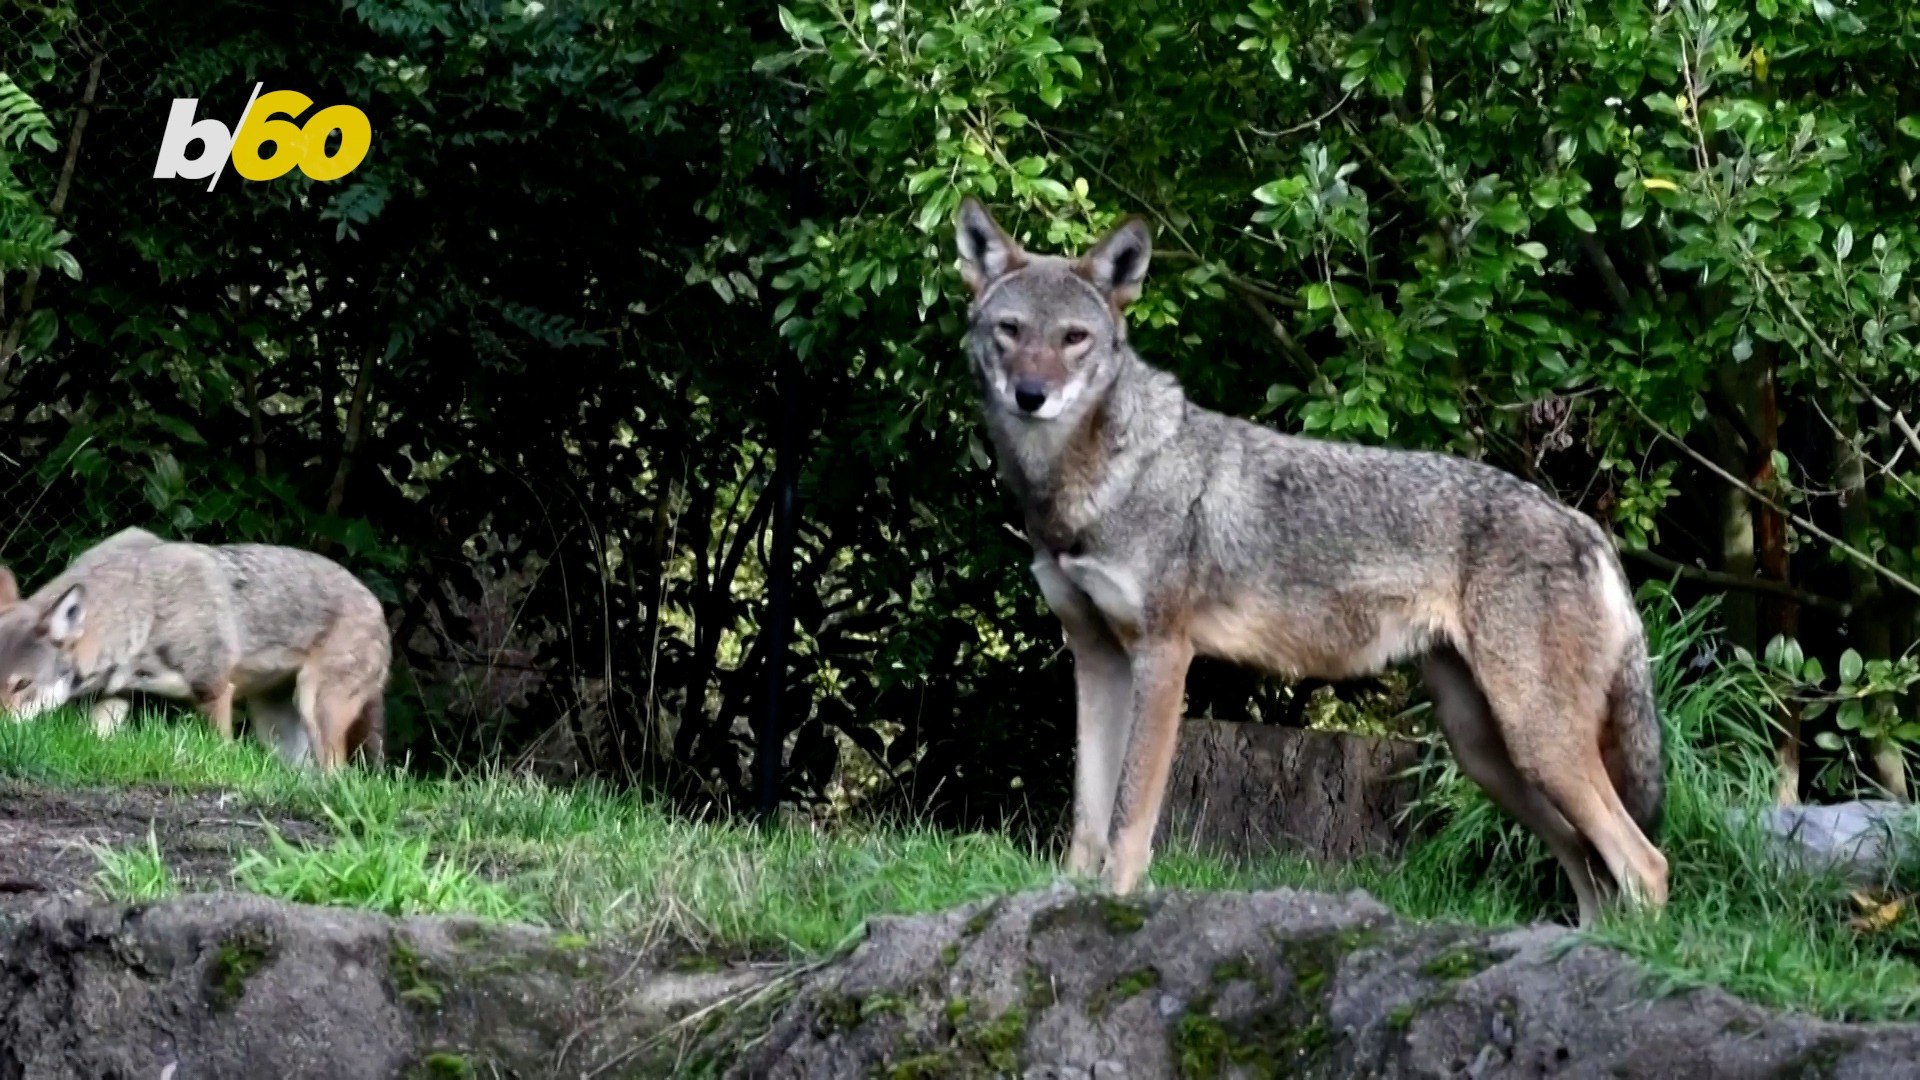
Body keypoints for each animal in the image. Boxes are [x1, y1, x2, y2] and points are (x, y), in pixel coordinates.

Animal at [0, 526, 389, 764]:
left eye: (22, 684)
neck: (146, 610)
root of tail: (377, 604)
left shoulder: (214, 689)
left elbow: (222, 748)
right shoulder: (115, 695)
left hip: (315, 709)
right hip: (277, 729)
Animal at [956, 197, 1666, 922]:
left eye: (1074, 338)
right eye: (1011, 330)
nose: (1031, 394)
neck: (1090, 486)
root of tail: (1582, 523)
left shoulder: (1163, 656)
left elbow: (1130, 816)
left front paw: (1118, 908)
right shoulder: (1097, 658)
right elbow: (1088, 813)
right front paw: (1065, 902)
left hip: (1534, 741)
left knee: (1646, 863)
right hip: (1488, 752)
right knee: (1590, 864)